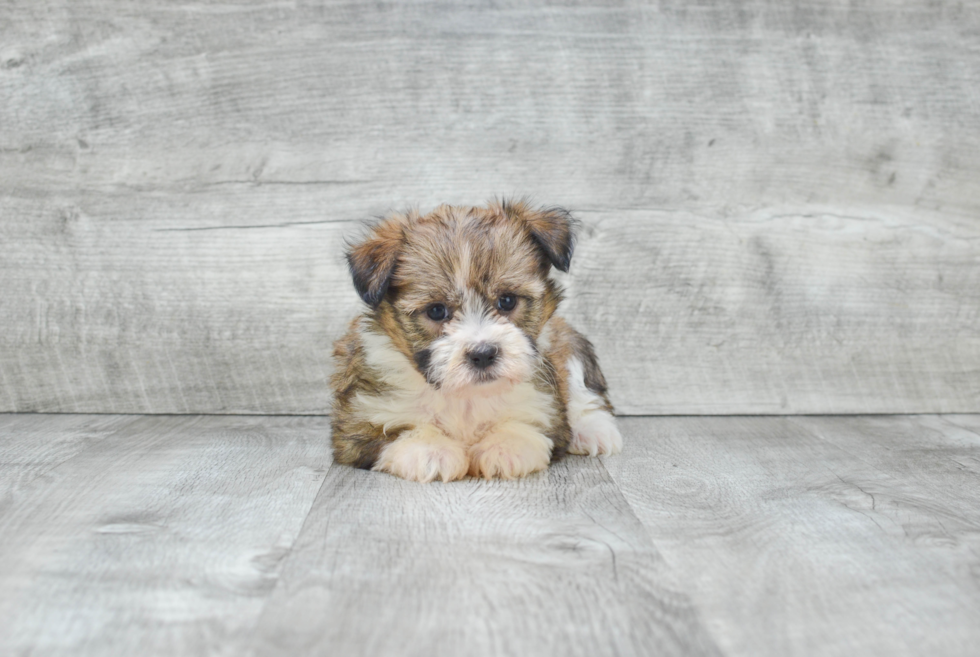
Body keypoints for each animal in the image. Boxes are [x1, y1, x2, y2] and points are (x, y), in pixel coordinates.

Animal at [330, 197, 620, 480]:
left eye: (507, 301)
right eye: (436, 311)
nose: (483, 354)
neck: (466, 395)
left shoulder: (545, 404)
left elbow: (529, 422)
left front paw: (506, 446)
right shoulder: (360, 421)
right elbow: (395, 432)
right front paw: (430, 450)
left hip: (569, 344)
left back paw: (593, 430)